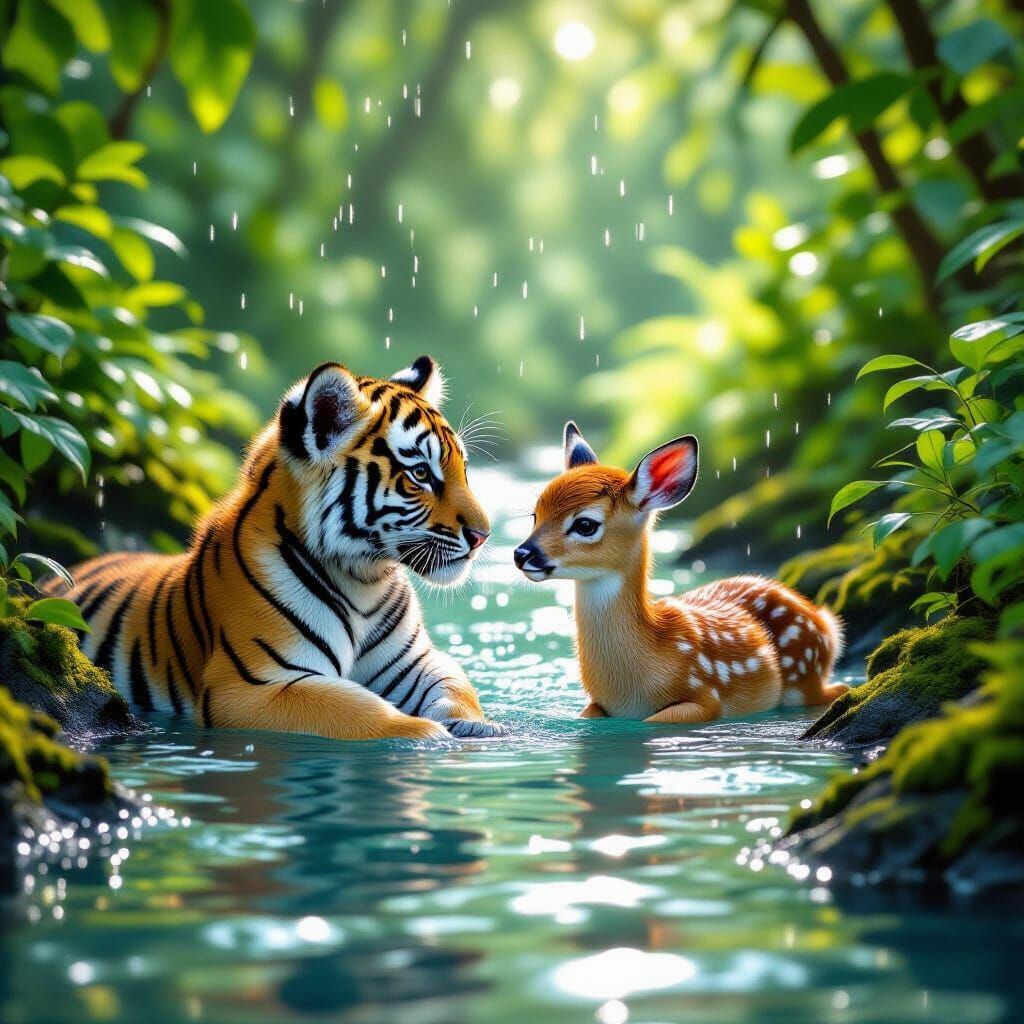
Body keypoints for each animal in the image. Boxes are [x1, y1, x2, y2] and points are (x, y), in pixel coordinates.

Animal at [50, 356, 505, 741]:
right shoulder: (251, 685)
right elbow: (356, 709)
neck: (363, 577)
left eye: (463, 470)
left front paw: (480, 727)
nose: (483, 535)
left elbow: (456, 688)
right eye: (421, 473)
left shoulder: (416, 663)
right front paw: (425, 733)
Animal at [514, 423, 849, 724]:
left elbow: (659, 719)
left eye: (585, 524)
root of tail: (824, 621)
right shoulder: (598, 706)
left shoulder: (706, 698)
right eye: (535, 515)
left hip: (805, 675)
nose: (522, 554)